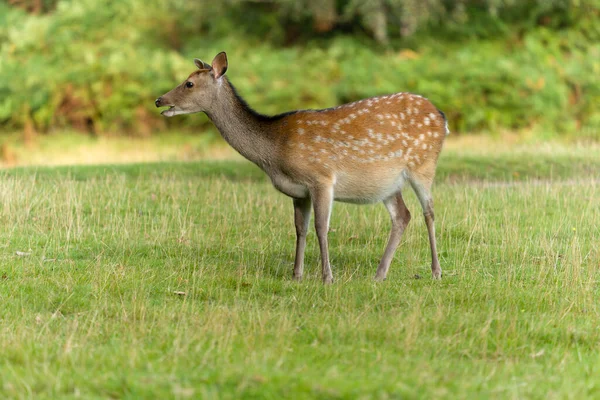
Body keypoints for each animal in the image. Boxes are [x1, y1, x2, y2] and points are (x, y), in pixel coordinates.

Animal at [157, 51, 448, 284]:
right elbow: (300, 229)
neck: (274, 154)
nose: (160, 100)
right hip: (387, 183)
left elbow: (321, 227)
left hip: (423, 165)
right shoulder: (298, 191)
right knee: (402, 215)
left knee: (429, 211)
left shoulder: (321, 178)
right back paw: (379, 274)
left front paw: (327, 277)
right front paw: (296, 275)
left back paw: (436, 271)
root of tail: (442, 117)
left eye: (189, 83)